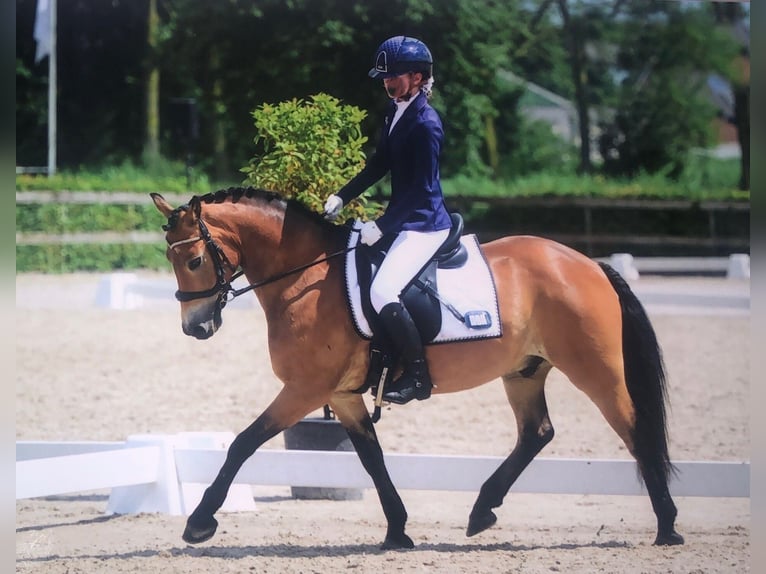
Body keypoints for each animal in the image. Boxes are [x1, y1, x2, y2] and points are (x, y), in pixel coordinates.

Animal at [150, 186, 684, 549]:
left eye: (194, 260)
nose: (195, 327)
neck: (306, 277)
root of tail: (588, 264)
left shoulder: (305, 390)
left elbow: (243, 443)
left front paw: (199, 522)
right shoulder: (341, 395)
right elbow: (371, 458)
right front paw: (398, 531)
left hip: (595, 369)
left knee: (634, 428)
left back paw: (667, 527)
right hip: (525, 371)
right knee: (537, 432)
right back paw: (482, 511)